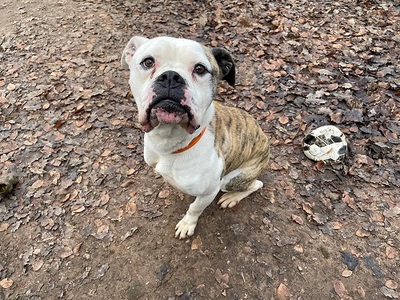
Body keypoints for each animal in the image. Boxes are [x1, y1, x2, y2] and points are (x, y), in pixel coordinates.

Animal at [120, 35, 270, 239]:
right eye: (148, 62)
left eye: (200, 69)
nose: (171, 76)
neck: (170, 141)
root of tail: (265, 138)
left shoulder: (209, 192)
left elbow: (194, 208)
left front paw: (187, 224)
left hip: (232, 180)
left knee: (256, 184)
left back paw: (232, 197)